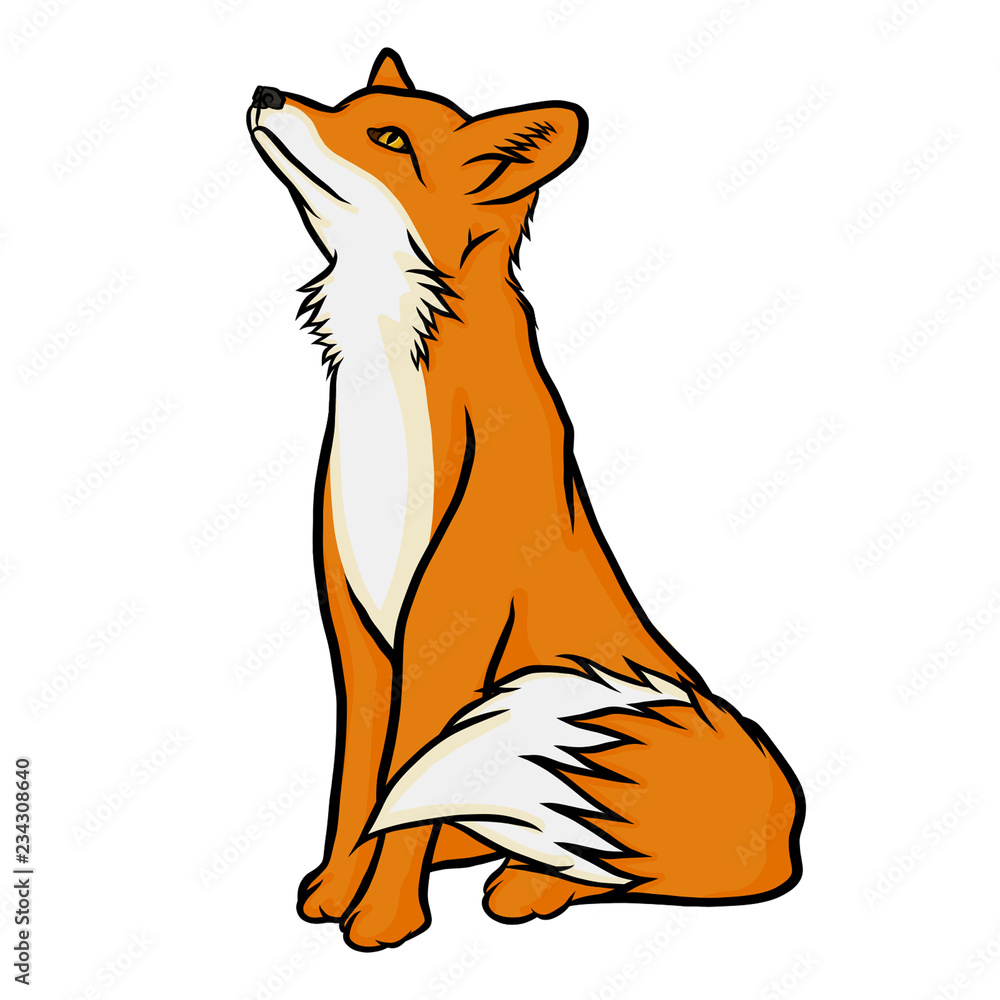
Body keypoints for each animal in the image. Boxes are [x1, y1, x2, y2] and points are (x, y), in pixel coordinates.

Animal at [247, 48, 804, 952]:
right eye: (345, 105)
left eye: (388, 137)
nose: (266, 92)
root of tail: (787, 827)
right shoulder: (359, 635)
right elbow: (359, 786)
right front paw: (335, 890)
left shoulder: (448, 631)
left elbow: (397, 791)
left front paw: (384, 919)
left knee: (616, 863)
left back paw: (529, 883)